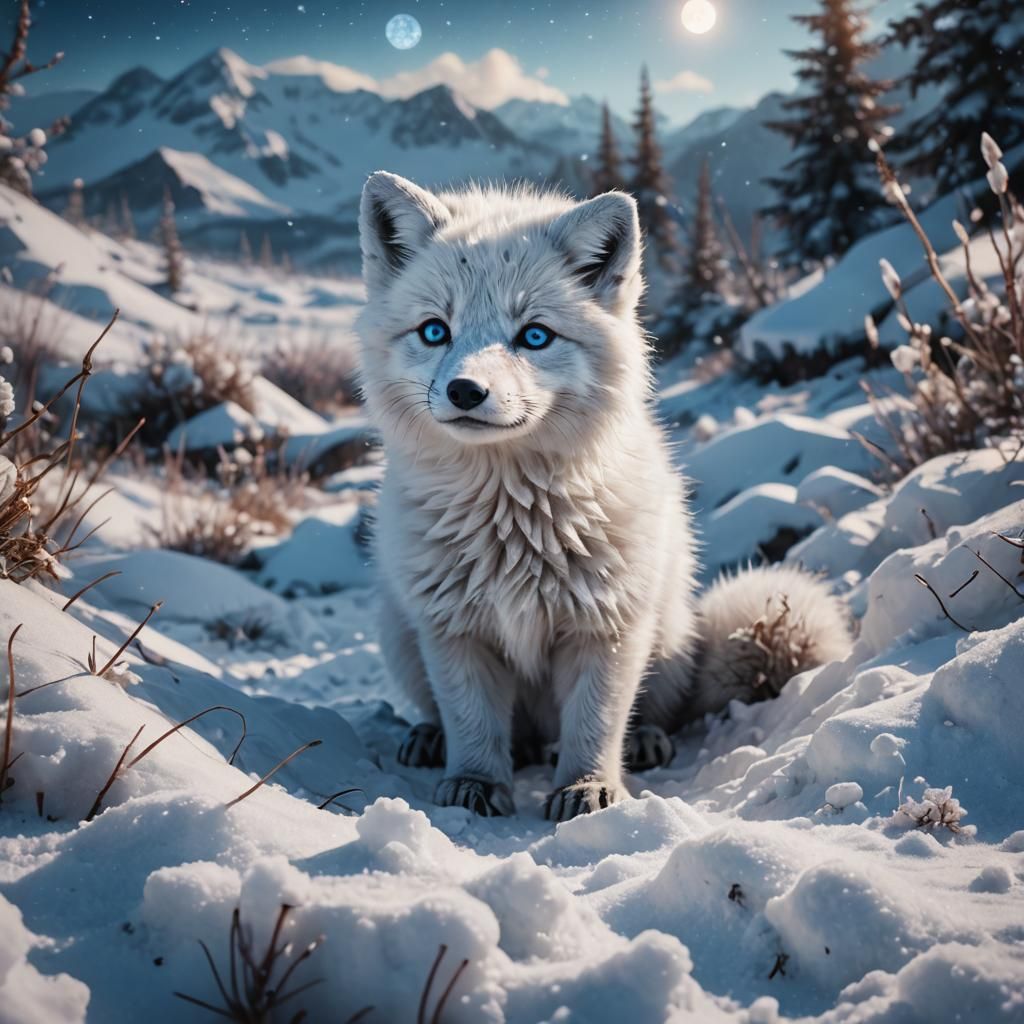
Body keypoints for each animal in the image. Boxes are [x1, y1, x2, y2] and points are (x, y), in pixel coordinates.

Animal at [355, 172, 851, 821]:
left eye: (534, 336)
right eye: (435, 330)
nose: (465, 391)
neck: (513, 525)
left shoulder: (607, 627)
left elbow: (595, 724)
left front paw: (589, 789)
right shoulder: (455, 630)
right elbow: (472, 724)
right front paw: (474, 786)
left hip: (663, 633)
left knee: (649, 711)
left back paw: (643, 742)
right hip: (399, 631)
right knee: (460, 720)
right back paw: (430, 738)